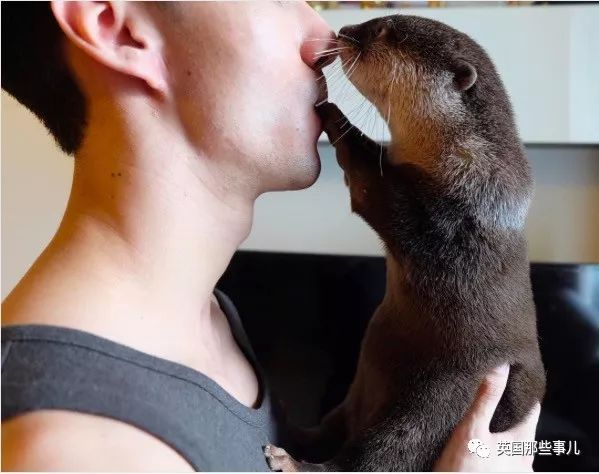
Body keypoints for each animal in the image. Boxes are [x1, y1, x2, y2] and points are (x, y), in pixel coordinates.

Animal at [264, 14, 546, 472]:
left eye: (384, 30)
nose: (344, 29)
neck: (468, 156)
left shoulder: (456, 213)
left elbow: (375, 189)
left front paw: (331, 109)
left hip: (439, 402)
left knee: (382, 454)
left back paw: (291, 459)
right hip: (359, 390)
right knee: (332, 428)